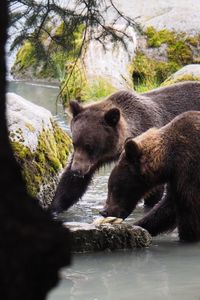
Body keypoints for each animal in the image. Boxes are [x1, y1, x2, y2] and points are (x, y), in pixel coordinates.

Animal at [51, 81, 200, 214]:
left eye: (90, 146)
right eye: (74, 143)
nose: (76, 170)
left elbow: (153, 189)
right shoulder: (94, 159)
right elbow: (71, 186)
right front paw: (54, 207)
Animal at [101, 111, 200, 243]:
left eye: (114, 188)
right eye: (110, 187)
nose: (104, 211)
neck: (169, 160)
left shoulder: (190, 171)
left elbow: (189, 211)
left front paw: (188, 237)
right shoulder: (176, 178)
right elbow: (167, 209)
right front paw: (138, 226)